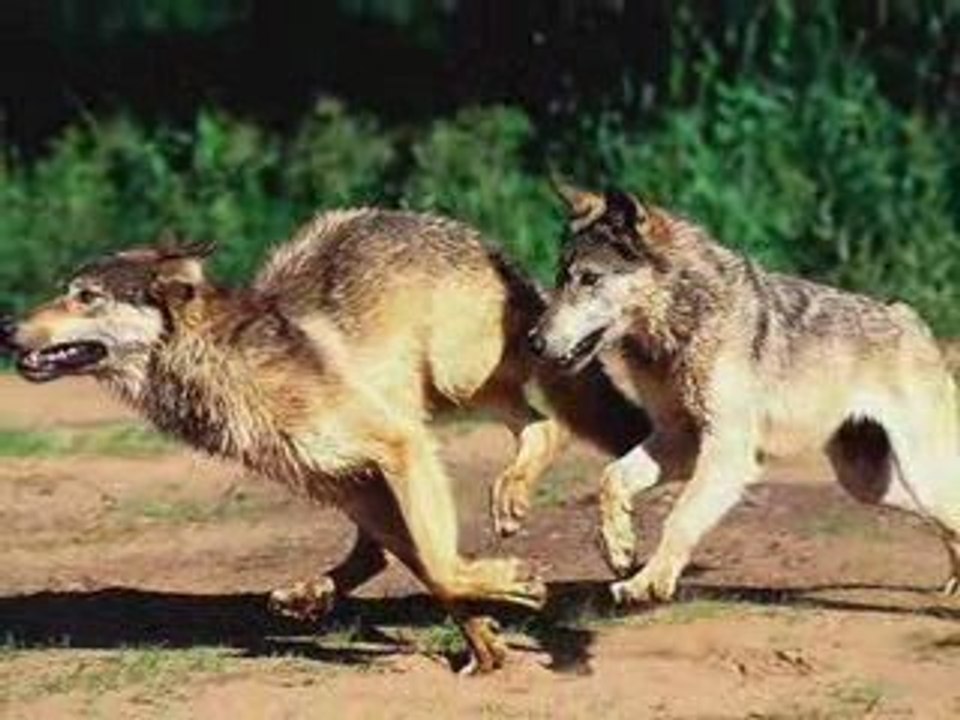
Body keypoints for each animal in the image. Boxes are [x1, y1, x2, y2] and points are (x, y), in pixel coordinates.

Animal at [2, 209, 646, 672]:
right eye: (66, 290)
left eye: (86, 296)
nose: (6, 328)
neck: (223, 360)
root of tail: (480, 243)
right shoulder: (361, 475)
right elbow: (432, 567)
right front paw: (487, 637)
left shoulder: (400, 447)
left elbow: (441, 565)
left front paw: (516, 586)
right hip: (359, 473)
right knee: (383, 547)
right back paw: (308, 593)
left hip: (450, 384)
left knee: (546, 424)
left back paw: (510, 496)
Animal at [530, 182, 960, 606]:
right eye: (560, 278)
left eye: (589, 279)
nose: (533, 341)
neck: (681, 325)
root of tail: (910, 317)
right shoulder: (680, 438)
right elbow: (611, 477)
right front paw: (619, 549)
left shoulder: (728, 451)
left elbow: (680, 518)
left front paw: (648, 583)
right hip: (866, 483)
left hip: (919, 475)